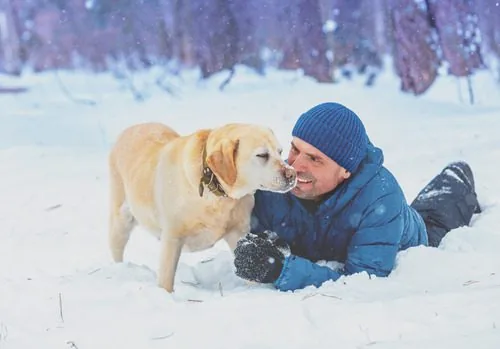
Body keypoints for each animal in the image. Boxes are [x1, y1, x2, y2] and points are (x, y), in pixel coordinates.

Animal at [107, 121, 294, 290]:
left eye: (280, 152)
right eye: (262, 155)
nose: (292, 174)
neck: (217, 193)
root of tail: (131, 128)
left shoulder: (238, 232)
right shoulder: (172, 237)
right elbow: (166, 280)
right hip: (121, 221)